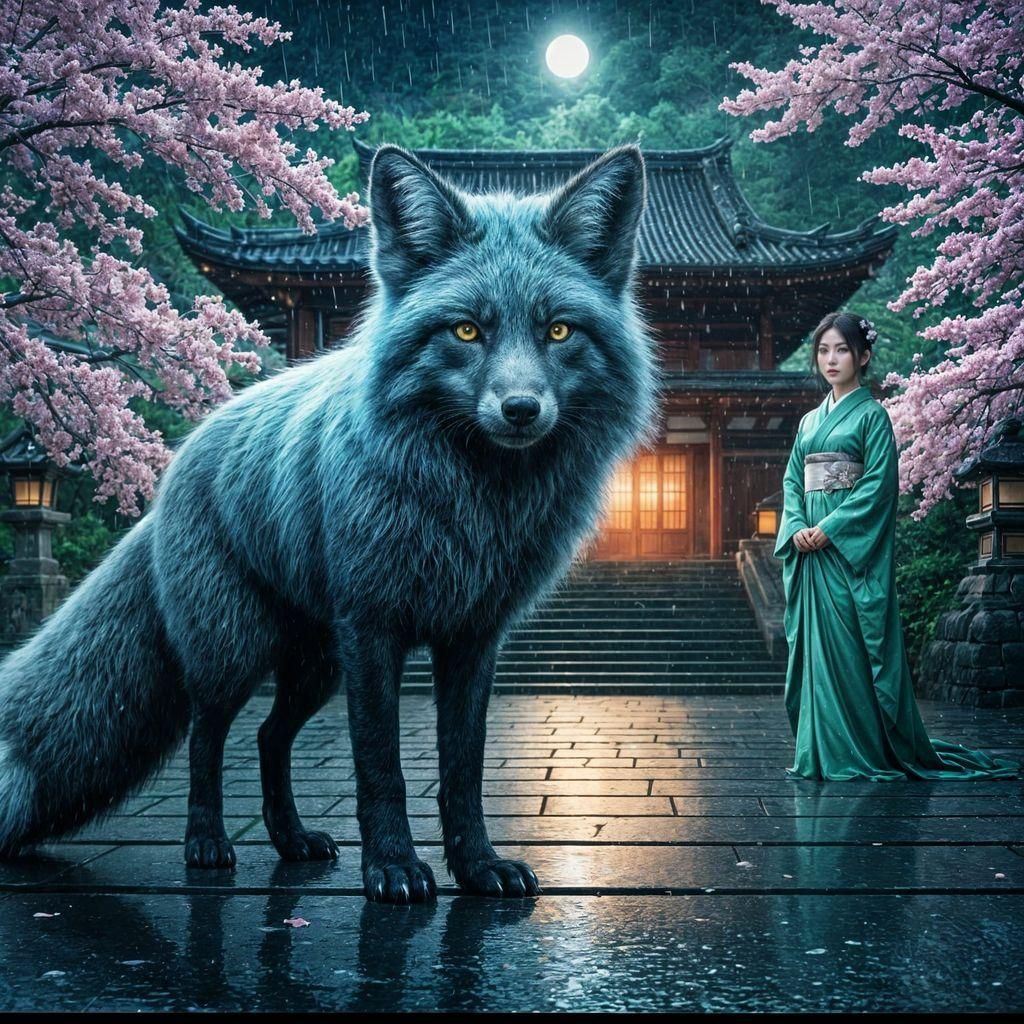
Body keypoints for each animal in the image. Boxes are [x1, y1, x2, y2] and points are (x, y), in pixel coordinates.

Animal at [0, 143, 658, 902]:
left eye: (558, 330)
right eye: (467, 330)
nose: (521, 410)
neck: (472, 506)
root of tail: (180, 459)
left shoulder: (472, 638)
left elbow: (461, 772)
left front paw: (477, 867)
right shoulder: (372, 628)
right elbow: (381, 768)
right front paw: (394, 869)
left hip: (315, 667)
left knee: (269, 738)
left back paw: (290, 841)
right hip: (236, 651)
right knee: (207, 736)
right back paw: (206, 844)